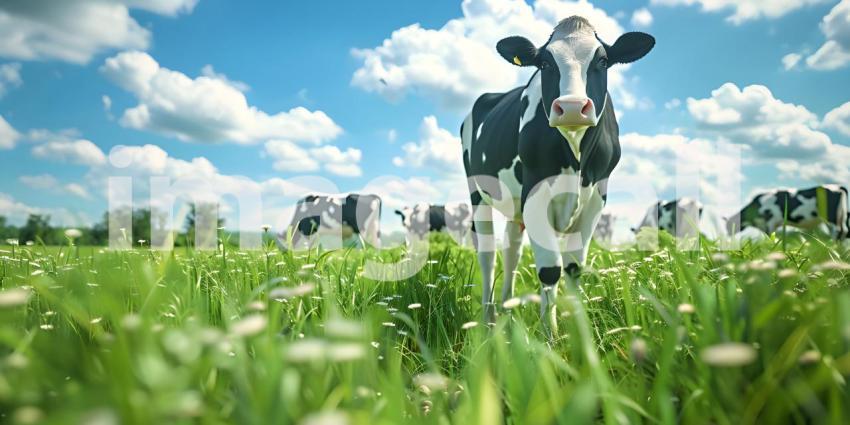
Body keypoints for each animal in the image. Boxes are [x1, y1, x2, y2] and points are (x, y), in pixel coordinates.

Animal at [460, 16, 655, 331]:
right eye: (545, 64)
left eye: (602, 61)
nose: (572, 107)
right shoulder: (535, 192)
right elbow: (550, 269)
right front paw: (550, 335)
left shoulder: (596, 198)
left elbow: (574, 268)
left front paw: (578, 332)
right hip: (478, 193)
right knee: (487, 254)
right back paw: (489, 320)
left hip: (515, 207)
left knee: (511, 250)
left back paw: (507, 310)